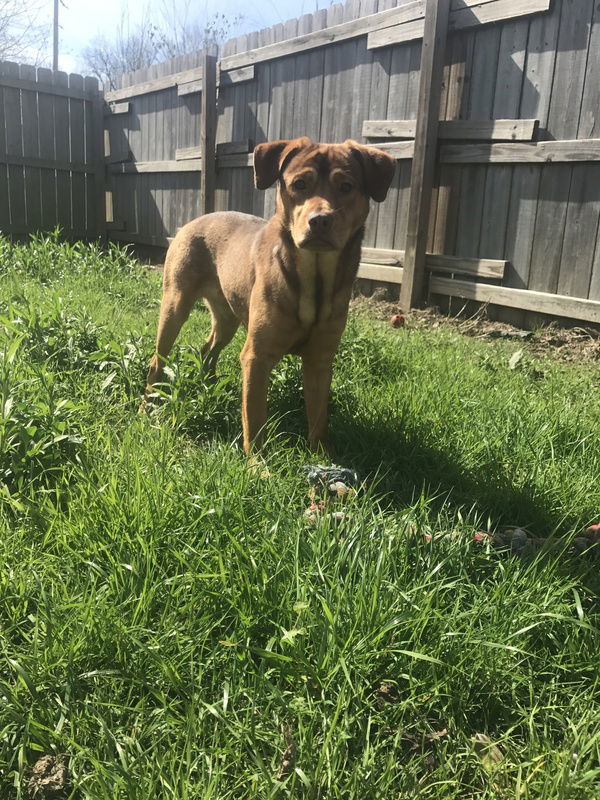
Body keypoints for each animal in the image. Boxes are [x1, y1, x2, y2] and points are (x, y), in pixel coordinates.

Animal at [144, 134, 396, 454]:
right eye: (299, 184)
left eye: (346, 186)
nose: (320, 220)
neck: (314, 278)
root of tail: (193, 220)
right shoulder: (257, 356)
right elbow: (254, 418)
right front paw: (257, 462)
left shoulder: (320, 358)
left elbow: (318, 417)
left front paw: (322, 457)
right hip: (175, 304)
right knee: (157, 360)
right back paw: (146, 408)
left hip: (228, 317)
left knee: (208, 349)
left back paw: (209, 387)